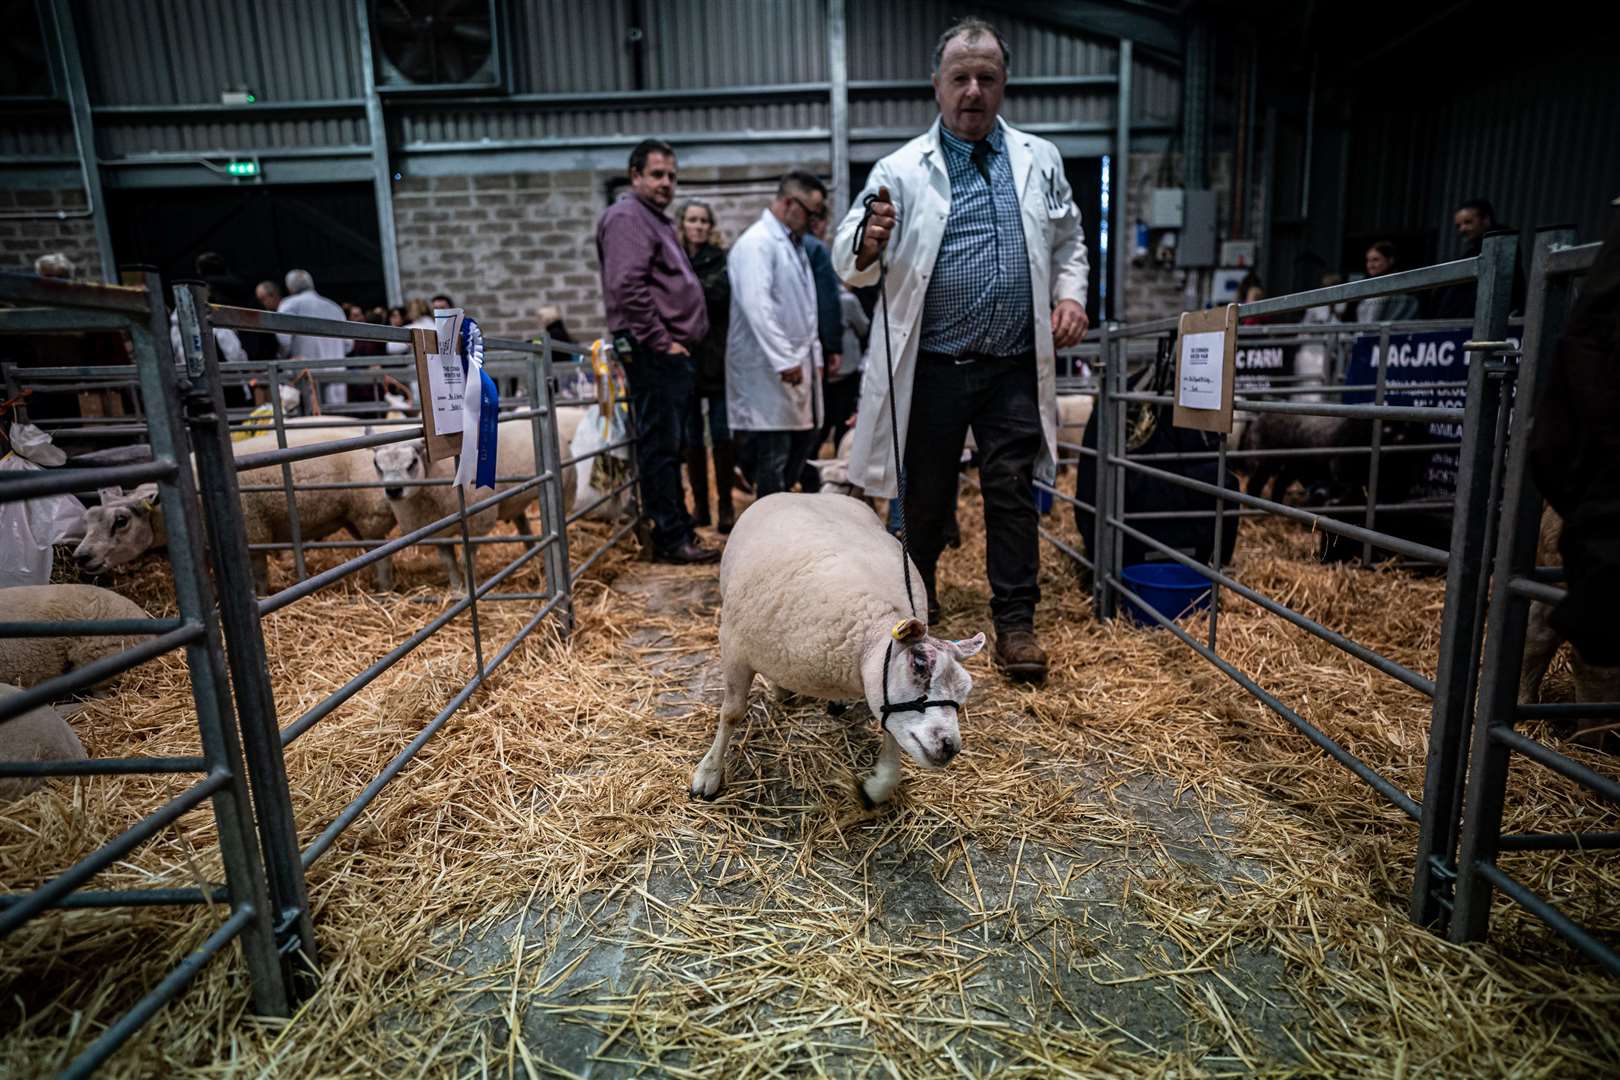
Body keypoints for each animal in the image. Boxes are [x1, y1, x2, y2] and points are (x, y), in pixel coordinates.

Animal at [686, 495, 978, 806]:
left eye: (965, 691)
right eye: (920, 663)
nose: (950, 746)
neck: (871, 633)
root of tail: (805, 494)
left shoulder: (881, 691)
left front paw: (877, 787)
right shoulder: (733, 647)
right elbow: (731, 713)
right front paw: (709, 773)